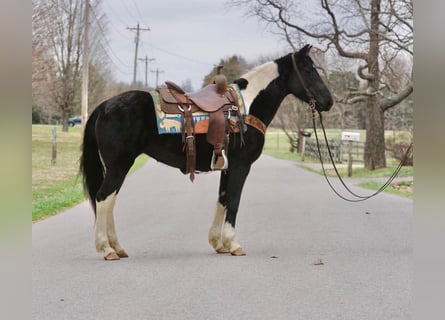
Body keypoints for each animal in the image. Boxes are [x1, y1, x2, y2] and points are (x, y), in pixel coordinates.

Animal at [80, 44, 332, 260]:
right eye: (309, 70)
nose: (328, 101)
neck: (245, 109)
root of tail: (104, 105)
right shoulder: (241, 166)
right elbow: (234, 201)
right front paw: (234, 244)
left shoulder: (227, 167)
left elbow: (222, 200)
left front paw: (219, 243)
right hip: (119, 165)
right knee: (103, 198)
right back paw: (106, 249)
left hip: (119, 166)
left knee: (110, 201)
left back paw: (117, 247)